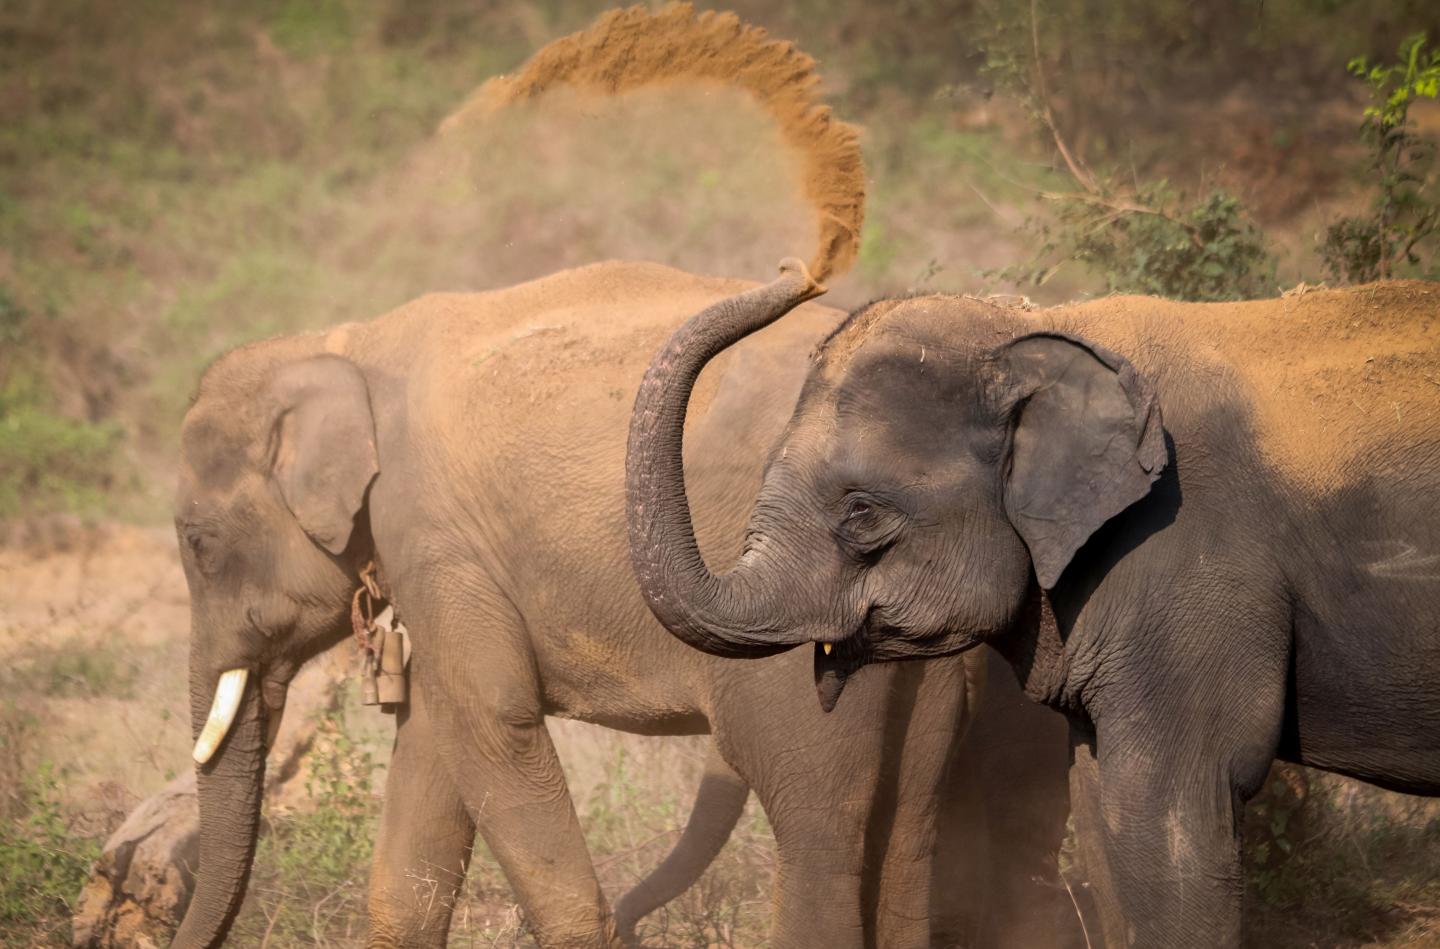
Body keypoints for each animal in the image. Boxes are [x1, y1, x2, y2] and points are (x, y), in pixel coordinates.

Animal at [165, 259, 1071, 949]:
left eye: (198, 543)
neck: (339, 344)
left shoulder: (431, 535)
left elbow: (490, 723)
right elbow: (432, 742)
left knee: (820, 815)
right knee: (912, 818)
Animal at [622, 262, 1440, 949]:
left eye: (862, 513)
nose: (796, 270)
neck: (1032, 330)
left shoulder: (1184, 557)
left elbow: (1172, 808)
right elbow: (1103, 810)